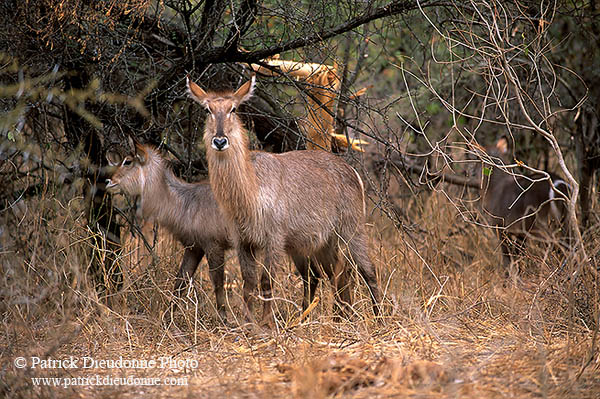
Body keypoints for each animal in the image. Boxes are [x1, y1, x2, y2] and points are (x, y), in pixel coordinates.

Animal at [105, 141, 232, 322]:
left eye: (127, 161)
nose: (109, 181)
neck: (185, 202)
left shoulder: (214, 246)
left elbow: (218, 285)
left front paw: (224, 321)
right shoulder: (194, 248)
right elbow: (180, 282)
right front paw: (167, 319)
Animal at [188, 76, 382, 326]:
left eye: (233, 108)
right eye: (207, 109)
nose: (220, 141)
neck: (249, 194)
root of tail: (352, 171)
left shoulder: (274, 238)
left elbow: (266, 281)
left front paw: (267, 324)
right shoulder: (244, 241)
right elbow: (248, 284)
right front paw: (249, 323)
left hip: (351, 231)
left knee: (368, 271)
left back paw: (380, 319)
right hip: (315, 244)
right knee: (328, 276)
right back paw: (331, 318)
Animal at [476, 137, 568, 272]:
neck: (494, 188)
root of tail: (558, 184)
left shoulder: (502, 228)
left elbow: (508, 259)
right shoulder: (518, 234)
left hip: (540, 226)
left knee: (552, 246)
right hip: (564, 221)